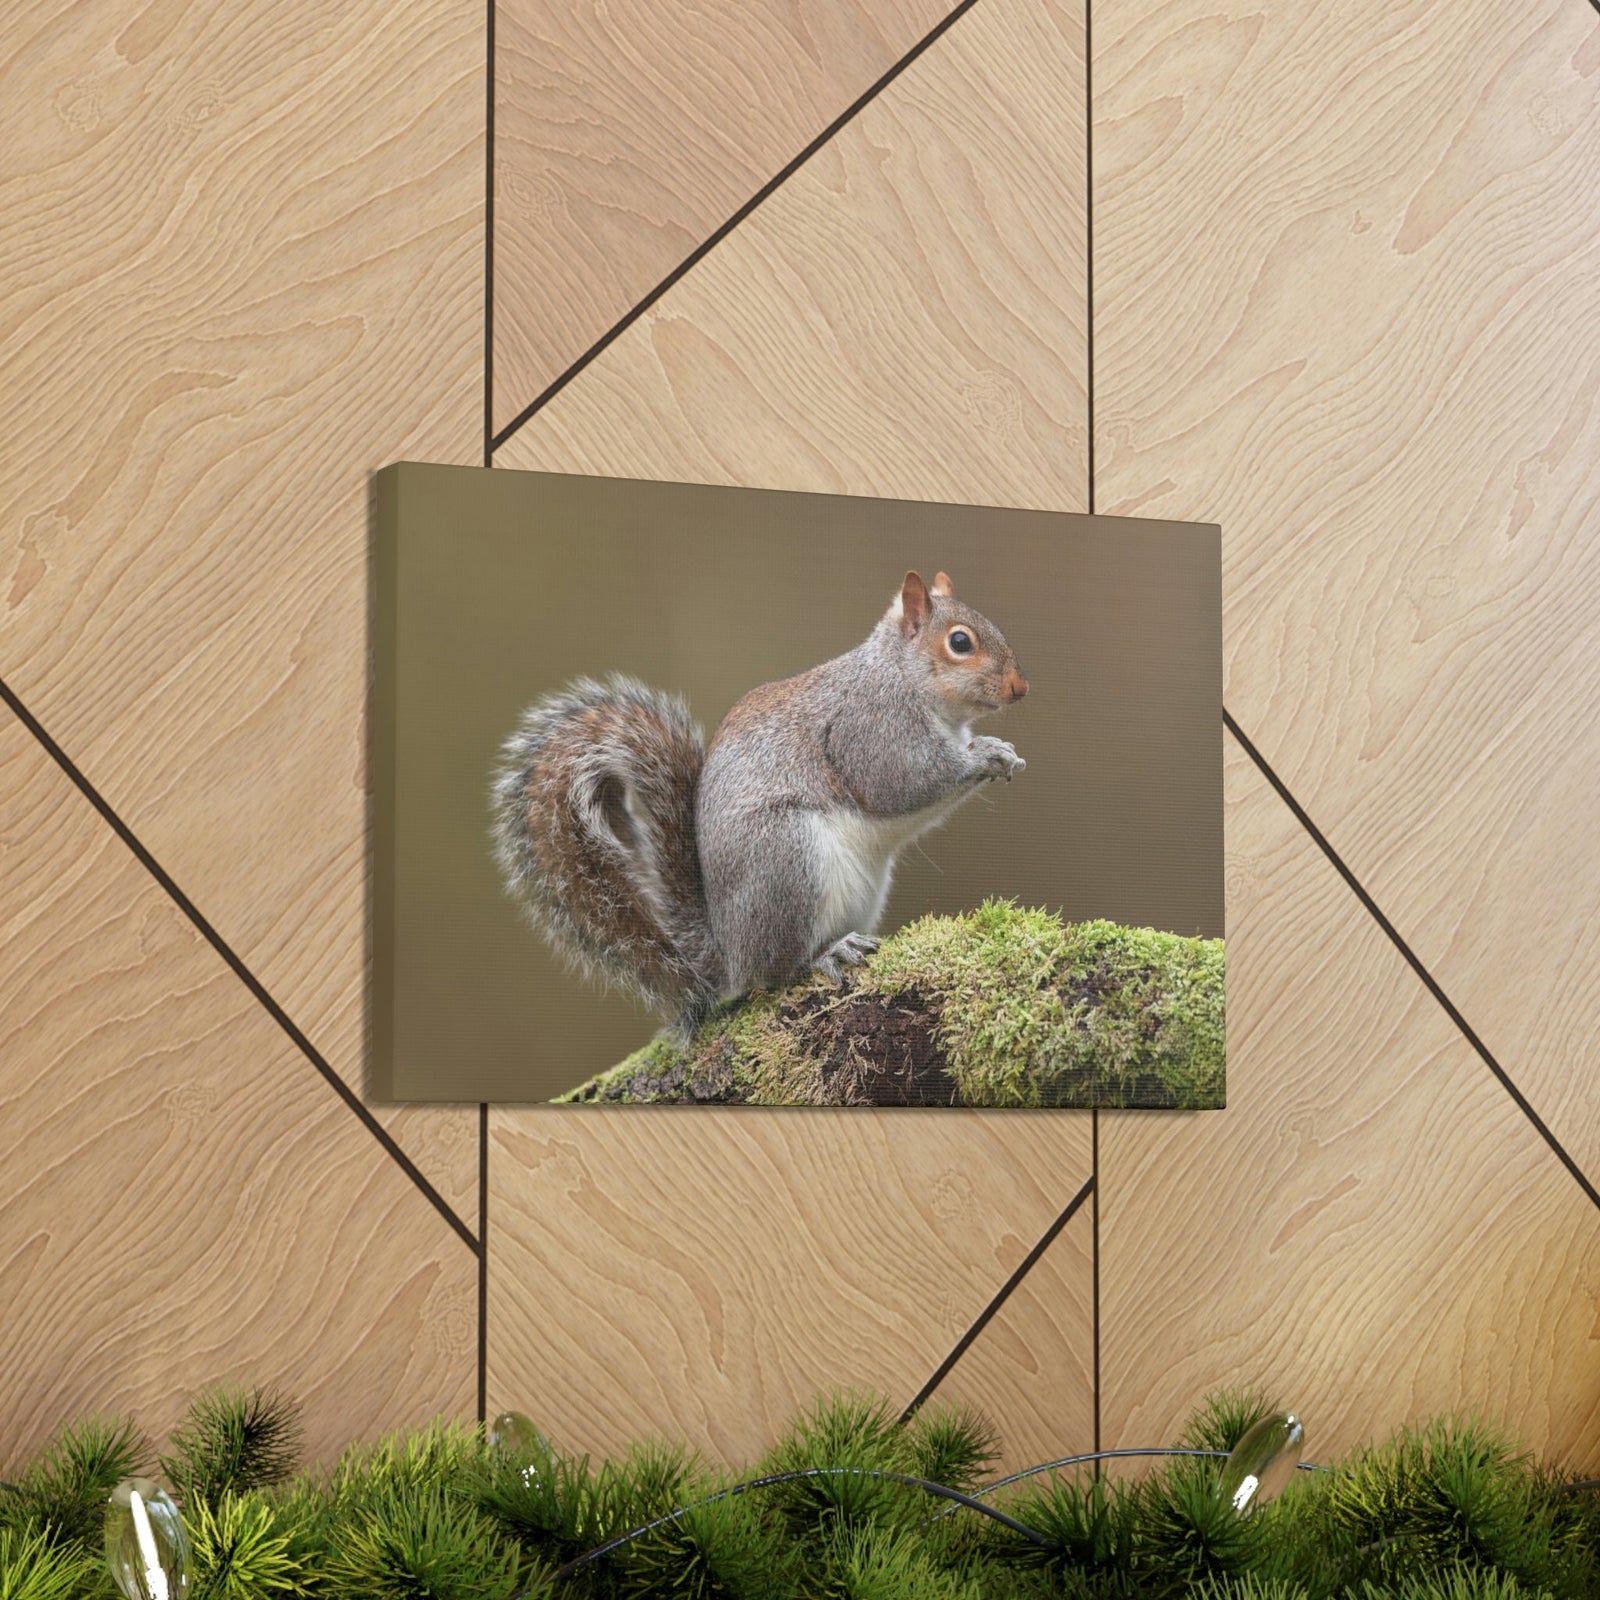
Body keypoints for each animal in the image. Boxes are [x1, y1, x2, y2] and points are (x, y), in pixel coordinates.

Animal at [490, 569, 1028, 1036]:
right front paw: (985, 754)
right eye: (960, 643)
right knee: (775, 970)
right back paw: (824, 954)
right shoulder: (868, 726)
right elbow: (900, 782)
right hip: (786, 860)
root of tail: (728, 950)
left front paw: (1001, 752)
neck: (902, 675)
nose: (1020, 689)